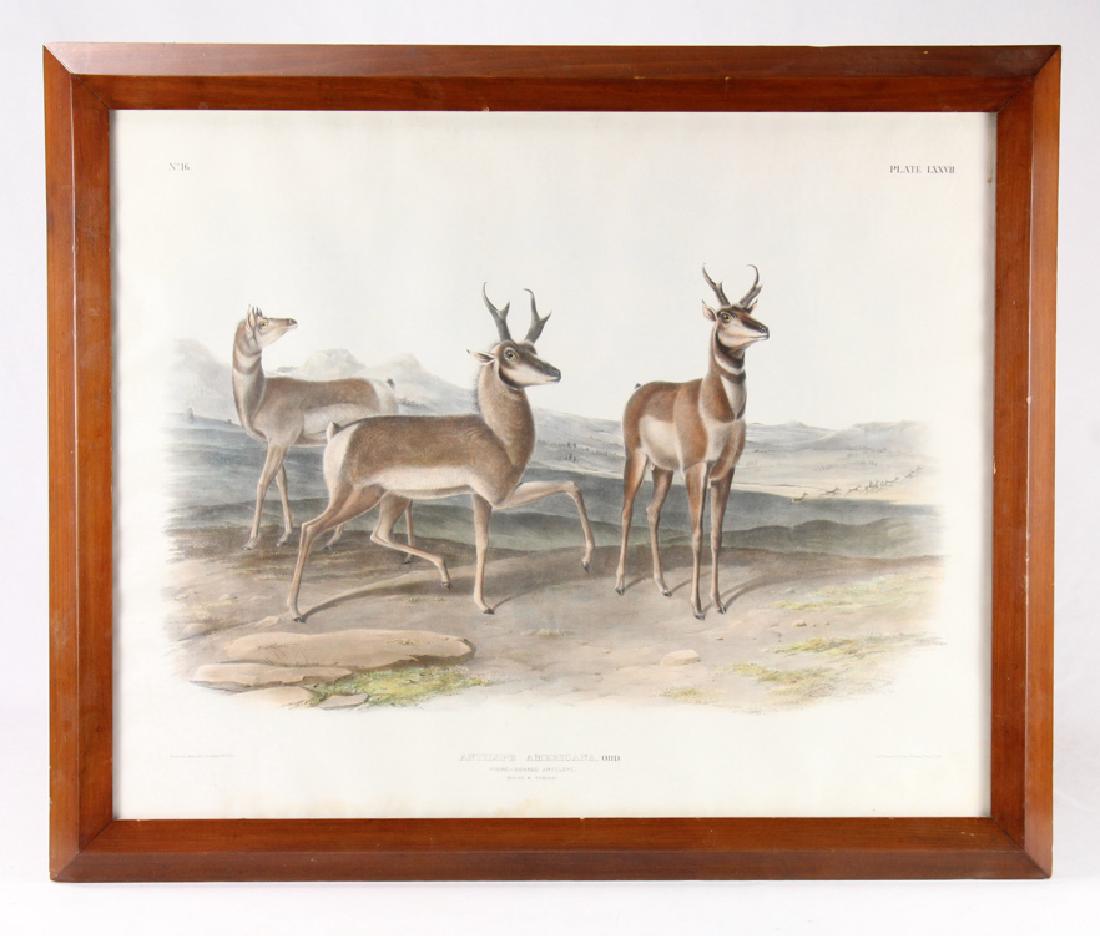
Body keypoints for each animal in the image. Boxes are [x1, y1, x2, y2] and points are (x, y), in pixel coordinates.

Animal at [231, 305, 414, 552]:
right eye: (262, 322)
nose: (291, 321)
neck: (262, 395)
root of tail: (385, 385)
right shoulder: (278, 445)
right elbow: (282, 483)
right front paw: (284, 536)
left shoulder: (278, 444)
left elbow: (262, 483)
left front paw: (251, 541)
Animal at [286, 286, 595, 621]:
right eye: (509, 353)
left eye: (533, 349)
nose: (555, 372)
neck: (497, 435)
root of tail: (340, 433)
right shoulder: (496, 497)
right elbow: (483, 543)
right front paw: (483, 603)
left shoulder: (486, 495)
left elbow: (570, 486)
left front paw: (586, 560)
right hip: (357, 497)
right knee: (311, 528)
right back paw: (296, 610)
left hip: (392, 498)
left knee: (379, 534)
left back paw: (444, 575)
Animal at [614, 265, 770, 620]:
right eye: (725, 314)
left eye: (749, 310)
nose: (764, 329)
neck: (715, 407)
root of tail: (641, 390)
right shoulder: (697, 470)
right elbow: (697, 534)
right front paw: (698, 607)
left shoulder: (725, 474)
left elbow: (716, 537)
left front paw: (719, 601)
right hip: (637, 460)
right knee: (627, 511)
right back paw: (619, 585)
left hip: (663, 471)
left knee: (651, 512)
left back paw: (663, 586)